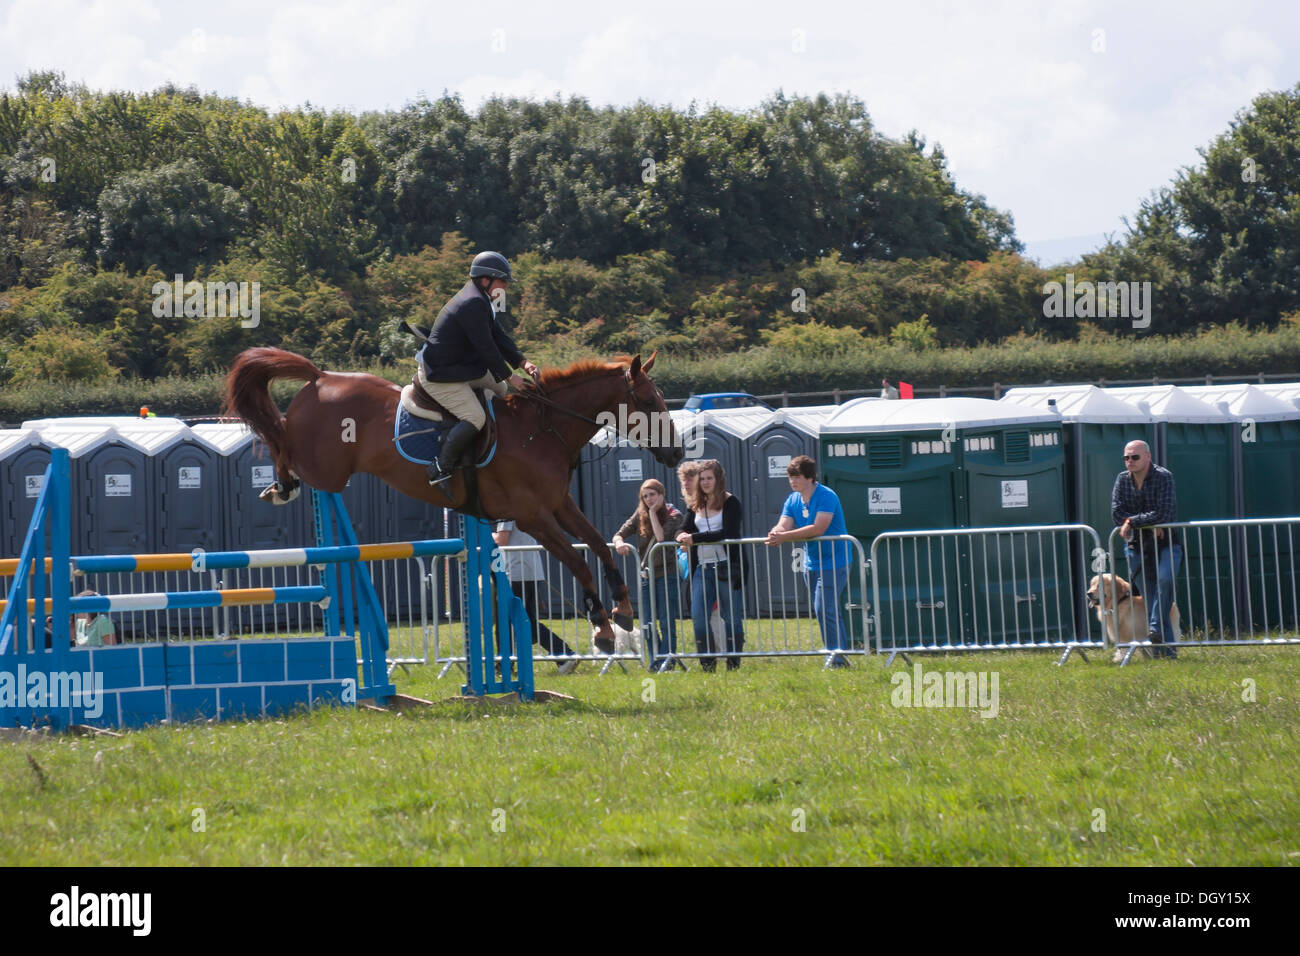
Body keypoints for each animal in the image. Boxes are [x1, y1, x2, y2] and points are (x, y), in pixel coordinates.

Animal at [224, 345, 686, 650]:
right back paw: (280, 486)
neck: (543, 428)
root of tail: (321, 377)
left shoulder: (558, 505)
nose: (678, 453)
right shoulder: (532, 516)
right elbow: (576, 559)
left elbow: (598, 545)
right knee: (280, 439)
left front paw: (622, 610)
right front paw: (602, 628)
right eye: (648, 401)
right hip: (324, 469)